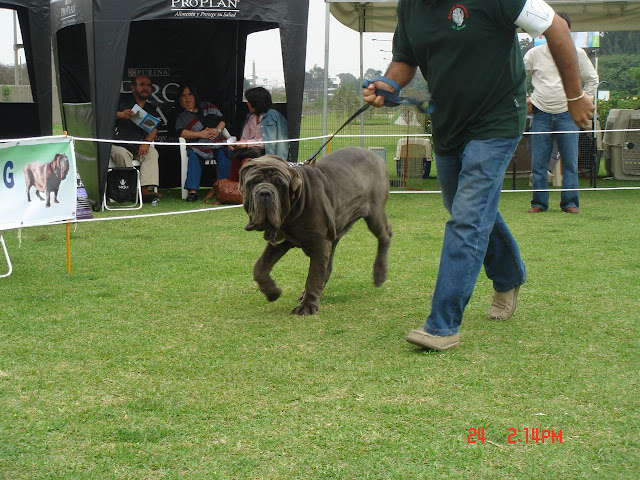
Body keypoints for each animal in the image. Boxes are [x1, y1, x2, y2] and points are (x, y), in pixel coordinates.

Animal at [239, 146, 392, 316]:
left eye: (279, 184)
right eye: (254, 182)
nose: (265, 193)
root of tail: (374, 155)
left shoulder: (320, 243)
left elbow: (314, 275)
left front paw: (307, 306)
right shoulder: (280, 241)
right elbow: (260, 267)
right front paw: (273, 292)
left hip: (374, 213)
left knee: (386, 234)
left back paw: (379, 274)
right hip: (335, 231)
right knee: (328, 267)